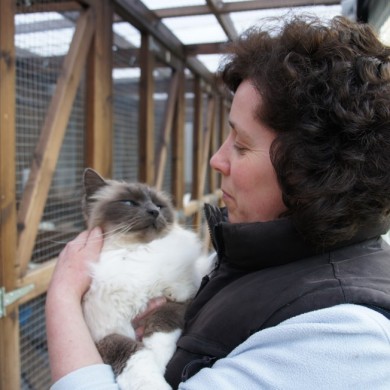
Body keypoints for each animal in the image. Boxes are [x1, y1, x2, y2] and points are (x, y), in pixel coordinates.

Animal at [80, 169, 212, 390]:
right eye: (129, 203)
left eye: (158, 206)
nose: (153, 212)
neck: (136, 251)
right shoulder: (104, 334)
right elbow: (133, 353)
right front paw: (153, 381)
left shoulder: (179, 301)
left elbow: (159, 330)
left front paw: (158, 362)